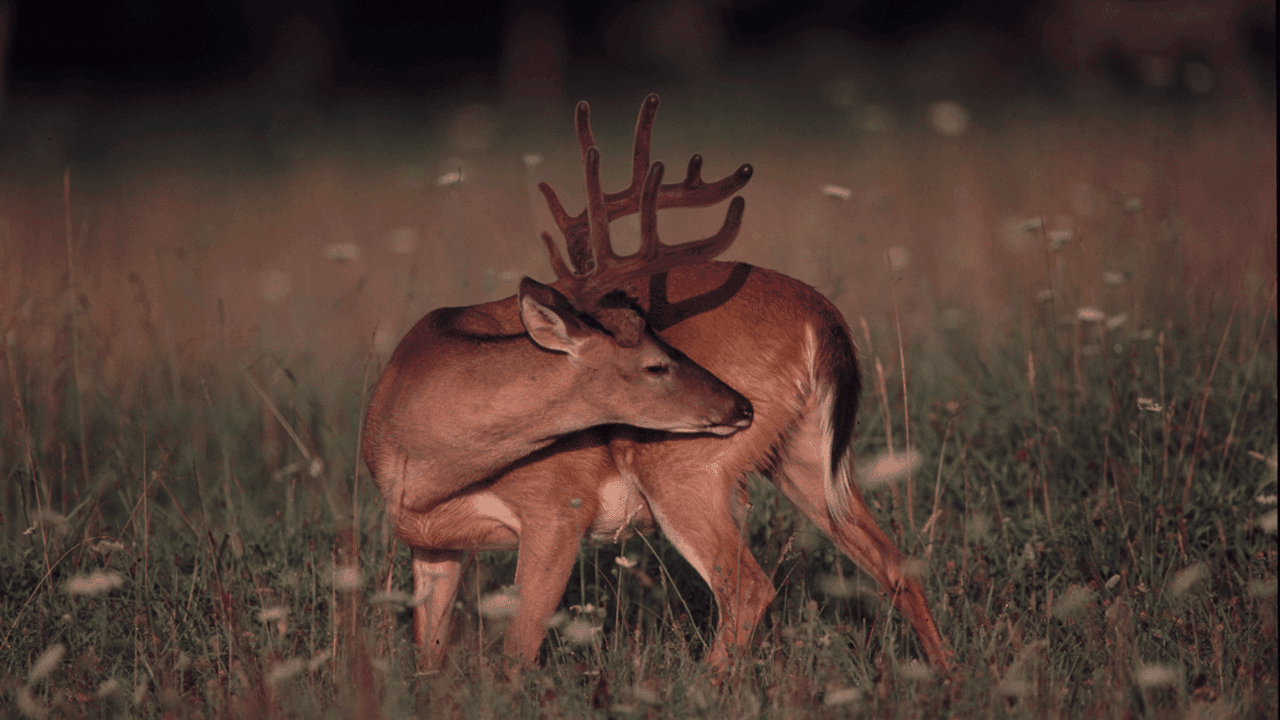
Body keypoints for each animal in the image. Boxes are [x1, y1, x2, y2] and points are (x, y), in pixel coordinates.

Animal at [384, 92, 957, 671]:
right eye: (657, 362)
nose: (739, 405)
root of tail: (821, 313)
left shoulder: (554, 512)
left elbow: (516, 653)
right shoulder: (430, 545)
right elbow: (427, 657)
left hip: (683, 466)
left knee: (747, 586)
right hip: (802, 455)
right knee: (894, 564)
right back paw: (946, 674)